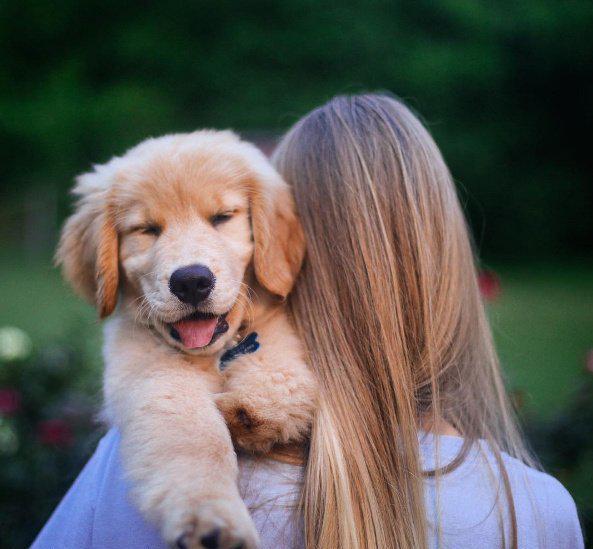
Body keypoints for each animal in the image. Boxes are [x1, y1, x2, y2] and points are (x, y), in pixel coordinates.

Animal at [57, 132, 320, 548]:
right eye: (147, 229)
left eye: (222, 217)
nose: (191, 281)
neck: (212, 356)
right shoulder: (155, 376)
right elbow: (196, 441)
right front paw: (212, 519)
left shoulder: (272, 327)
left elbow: (280, 367)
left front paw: (253, 409)